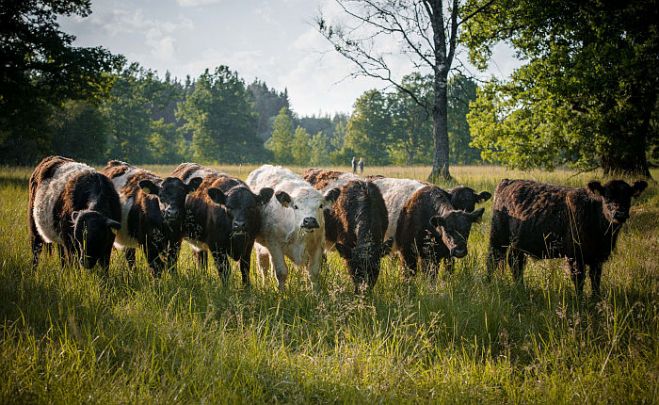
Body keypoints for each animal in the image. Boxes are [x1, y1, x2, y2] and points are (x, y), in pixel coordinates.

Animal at [488, 178, 648, 296]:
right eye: (607, 197)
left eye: (628, 197)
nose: (619, 214)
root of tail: (509, 181)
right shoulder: (575, 256)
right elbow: (579, 279)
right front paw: (579, 300)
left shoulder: (598, 258)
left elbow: (595, 279)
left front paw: (596, 299)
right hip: (498, 237)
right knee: (494, 259)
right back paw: (488, 281)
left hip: (518, 244)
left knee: (516, 262)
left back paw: (521, 287)